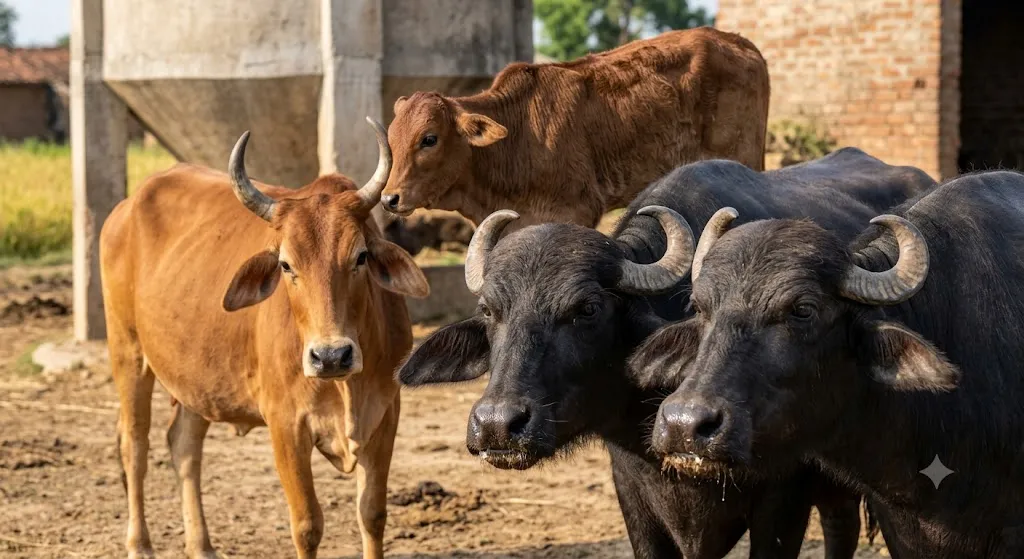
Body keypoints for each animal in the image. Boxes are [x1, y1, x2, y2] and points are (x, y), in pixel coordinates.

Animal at [99, 118, 429, 559]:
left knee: (183, 445)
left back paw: (201, 546)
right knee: (134, 446)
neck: (345, 386)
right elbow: (307, 525)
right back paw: (140, 544)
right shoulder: (286, 424)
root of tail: (129, 205)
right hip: (128, 352)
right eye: (286, 264)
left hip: (195, 378)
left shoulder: (386, 414)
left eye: (360, 257)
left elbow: (372, 515)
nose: (331, 356)